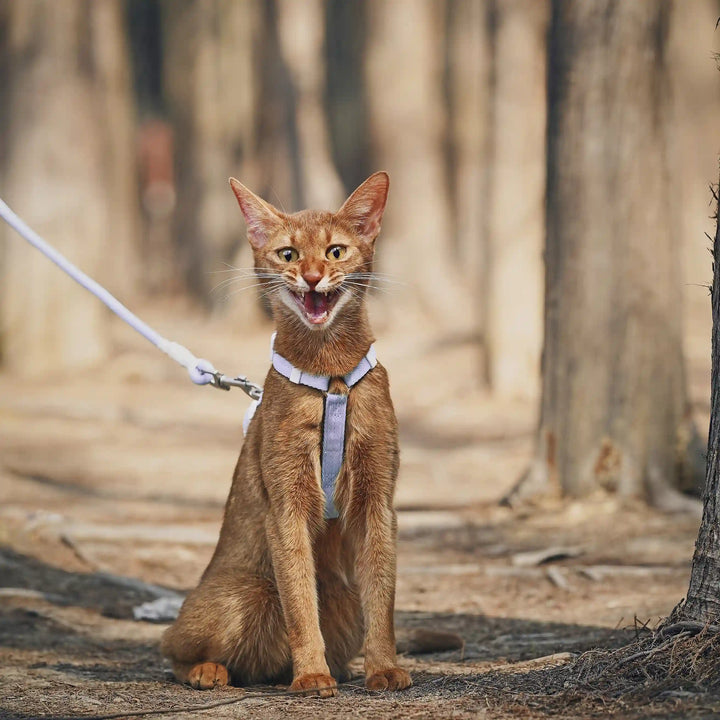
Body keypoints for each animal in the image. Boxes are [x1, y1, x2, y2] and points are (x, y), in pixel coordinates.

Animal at [161, 172, 414, 696]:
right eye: (288, 254)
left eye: (336, 251)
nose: (313, 276)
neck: (331, 375)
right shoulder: (286, 503)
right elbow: (299, 603)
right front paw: (312, 675)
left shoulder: (378, 499)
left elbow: (383, 599)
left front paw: (384, 668)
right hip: (246, 592)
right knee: (170, 645)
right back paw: (210, 671)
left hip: (342, 595)